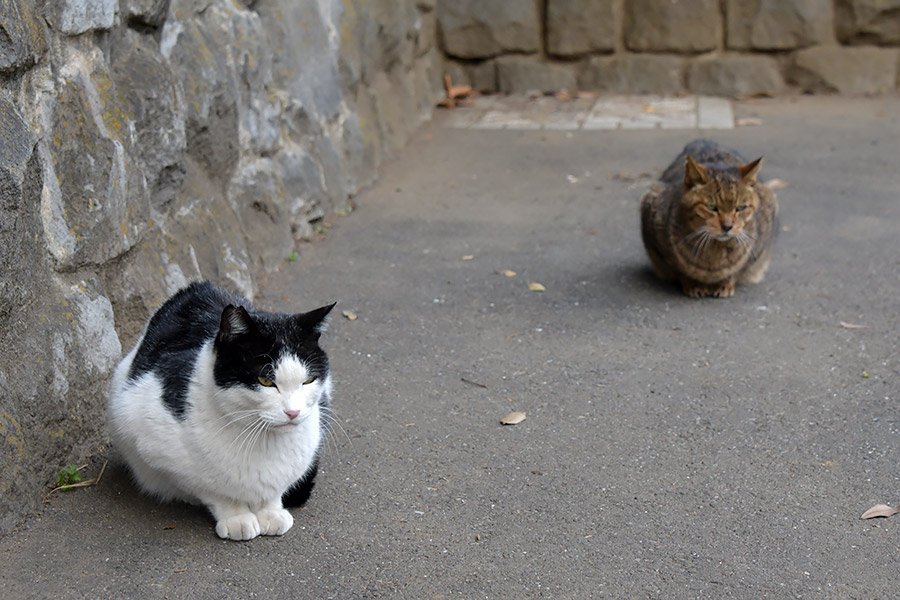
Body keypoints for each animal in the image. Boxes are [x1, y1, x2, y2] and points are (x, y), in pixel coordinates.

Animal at [109, 280, 334, 540]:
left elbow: (273, 490)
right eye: (266, 381)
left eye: (308, 380)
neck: (262, 440)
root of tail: (201, 286)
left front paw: (270, 511)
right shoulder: (144, 428)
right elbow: (213, 489)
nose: (293, 413)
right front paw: (236, 517)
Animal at [640, 139, 780, 298]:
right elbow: (680, 270)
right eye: (711, 207)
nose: (727, 226)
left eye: (740, 208)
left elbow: (736, 270)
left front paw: (725, 283)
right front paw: (693, 283)